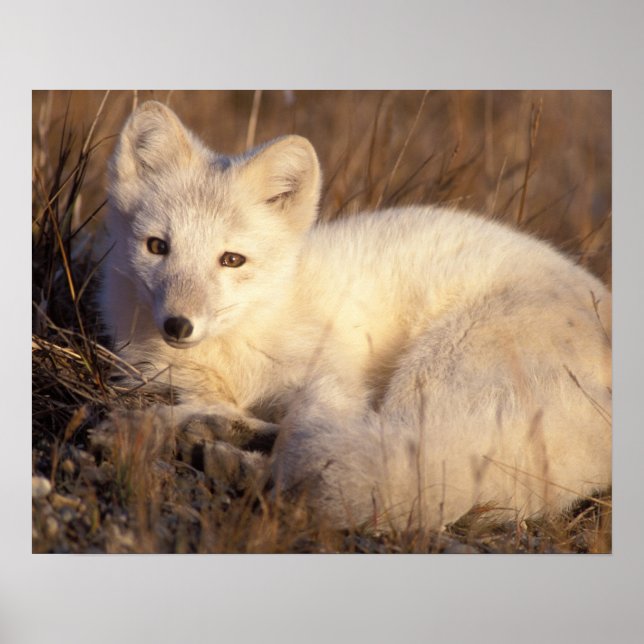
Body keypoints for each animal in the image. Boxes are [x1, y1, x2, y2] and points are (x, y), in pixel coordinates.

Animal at [100, 100, 612, 532]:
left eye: (232, 260)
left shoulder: (331, 379)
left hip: (434, 370)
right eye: (157, 247)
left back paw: (235, 462)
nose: (178, 326)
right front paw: (170, 424)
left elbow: (305, 427)